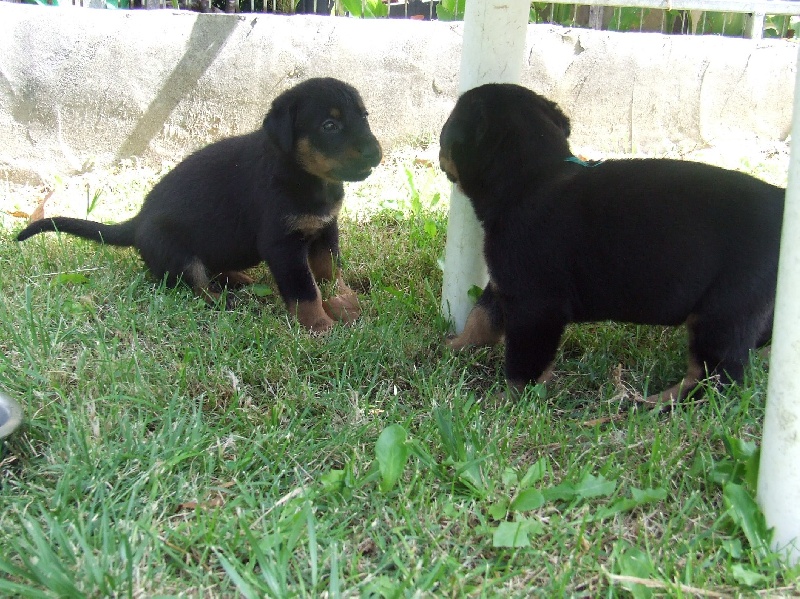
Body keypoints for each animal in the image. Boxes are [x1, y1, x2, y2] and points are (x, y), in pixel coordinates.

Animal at [17, 76, 382, 332]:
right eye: (330, 126)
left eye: (364, 116)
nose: (375, 153)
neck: (306, 177)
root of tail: (137, 221)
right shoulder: (282, 244)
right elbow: (305, 290)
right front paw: (319, 325)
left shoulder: (325, 229)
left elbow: (330, 272)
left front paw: (345, 305)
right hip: (177, 253)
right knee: (193, 285)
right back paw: (224, 300)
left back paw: (239, 279)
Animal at [438, 83, 780, 404]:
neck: (532, 180)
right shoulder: (506, 281)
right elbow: (482, 317)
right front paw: (455, 346)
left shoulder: (534, 301)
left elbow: (524, 363)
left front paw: (506, 400)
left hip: (726, 306)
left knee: (717, 376)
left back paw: (654, 404)